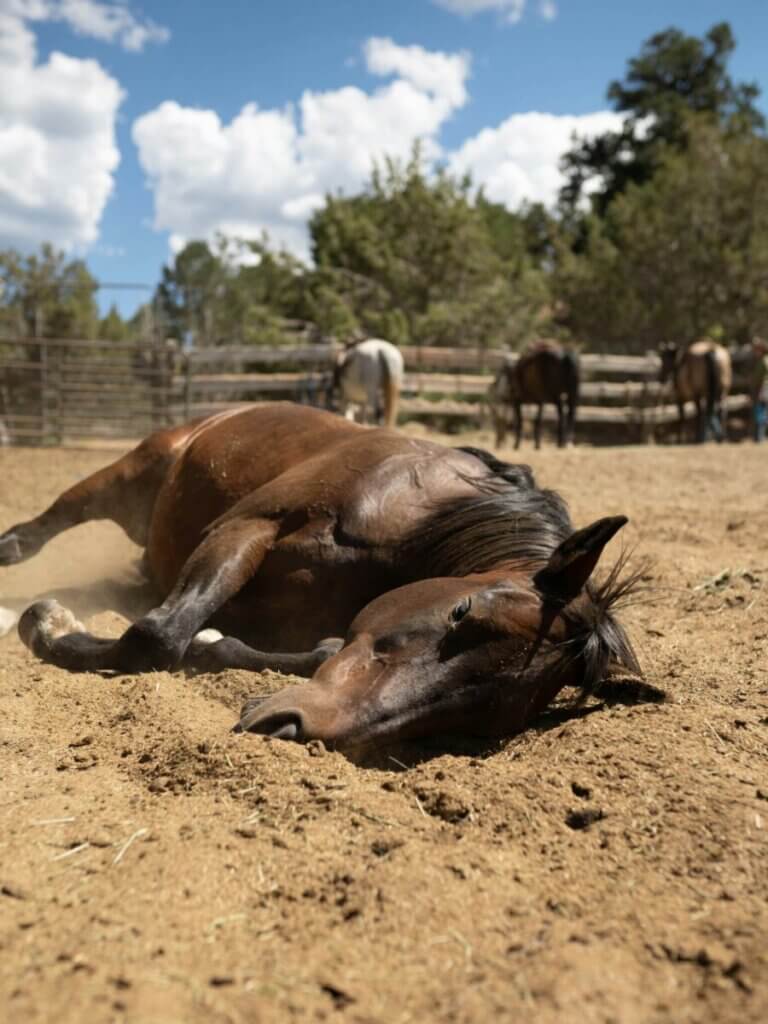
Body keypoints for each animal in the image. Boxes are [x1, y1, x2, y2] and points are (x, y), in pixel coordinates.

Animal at [0, 403, 641, 756]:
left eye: (485, 714)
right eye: (462, 612)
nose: (294, 726)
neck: (419, 515)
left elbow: (228, 645)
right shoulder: (248, 526)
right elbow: (154, 639)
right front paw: (47, 626)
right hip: (133, 470)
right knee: (60, 515)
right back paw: (15, 553)